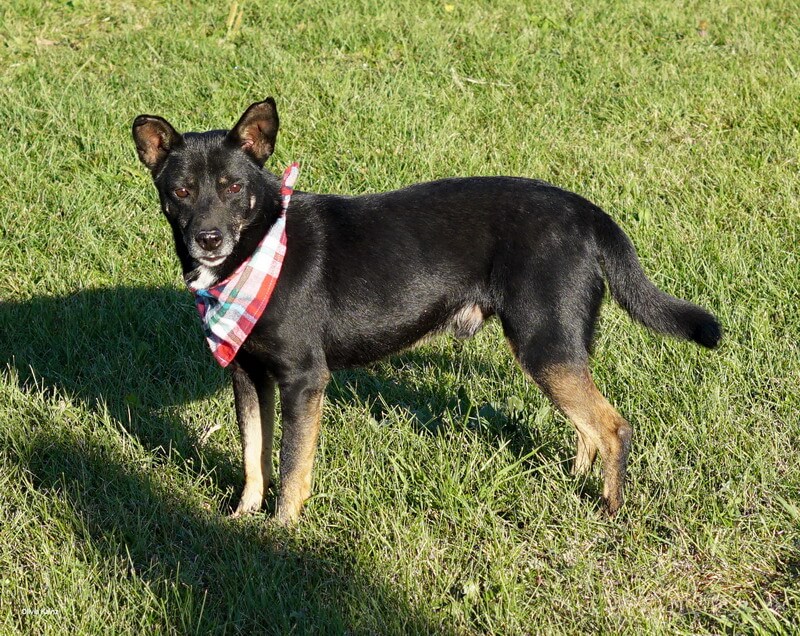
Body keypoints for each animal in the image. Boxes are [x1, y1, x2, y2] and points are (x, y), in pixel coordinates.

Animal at [132, 98, 721, 524]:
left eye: (233, 187)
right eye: (181, 191)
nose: (208, 239)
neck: (258, 247)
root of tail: (586, 212)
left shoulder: (303, 379)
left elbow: (292, 464)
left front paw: (281, 531)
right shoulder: (248, 374)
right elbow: (254, 456)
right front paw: (241, 518)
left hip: (544, 343)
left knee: (613, 427)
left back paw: (610, 510)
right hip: (557, 349)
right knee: (588, 429)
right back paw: (579, 483)